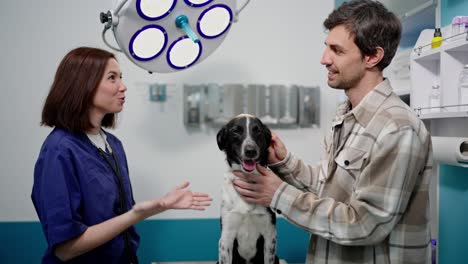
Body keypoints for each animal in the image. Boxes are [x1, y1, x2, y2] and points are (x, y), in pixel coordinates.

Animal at [216, 114, 278, 264]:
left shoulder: (270, 236)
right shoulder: (226, 238)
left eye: (258, 131)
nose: (250, 151)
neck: (247, 179)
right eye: (236, 131)